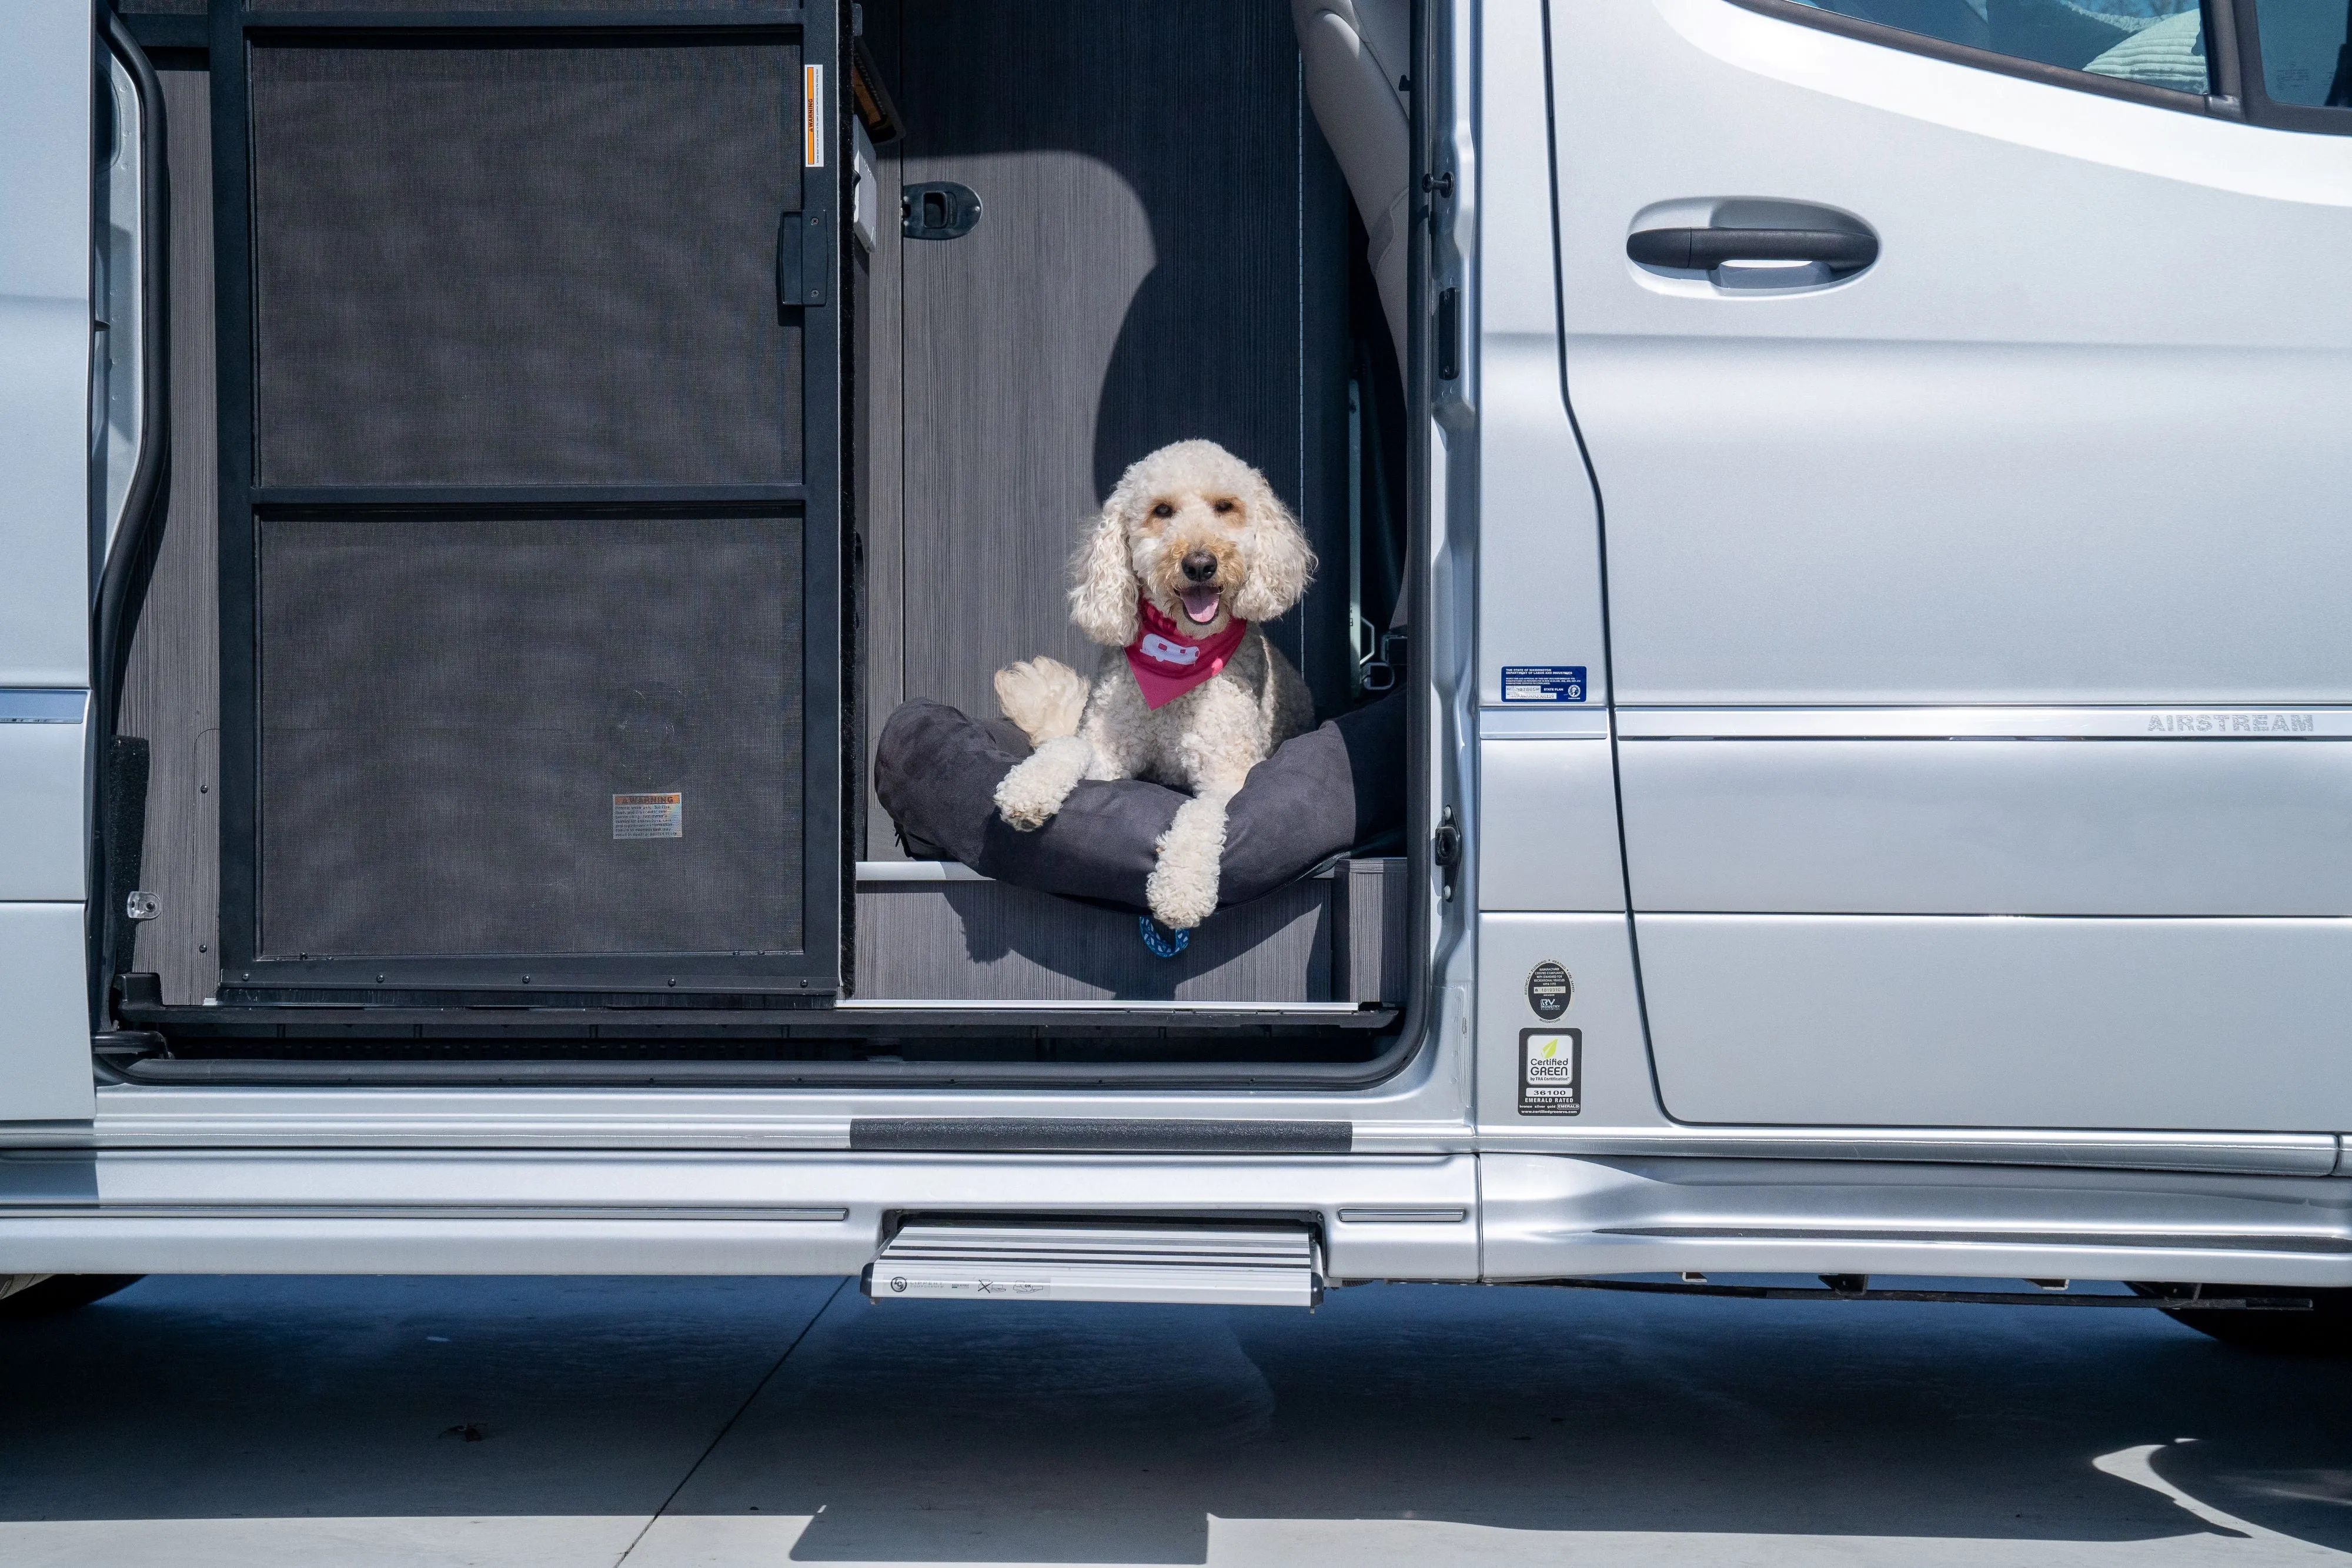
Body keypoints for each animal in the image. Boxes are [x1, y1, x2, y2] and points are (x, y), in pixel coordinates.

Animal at [993, 439, 1327, 931]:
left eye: (1225, 507)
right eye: (1162, 510)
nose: (1200, 564)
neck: (1178, 660)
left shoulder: (1226, 776)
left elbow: (1199, 816)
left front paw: (1180, 892)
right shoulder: (1109, 751)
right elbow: (1070, 746)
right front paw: (1028, 788)